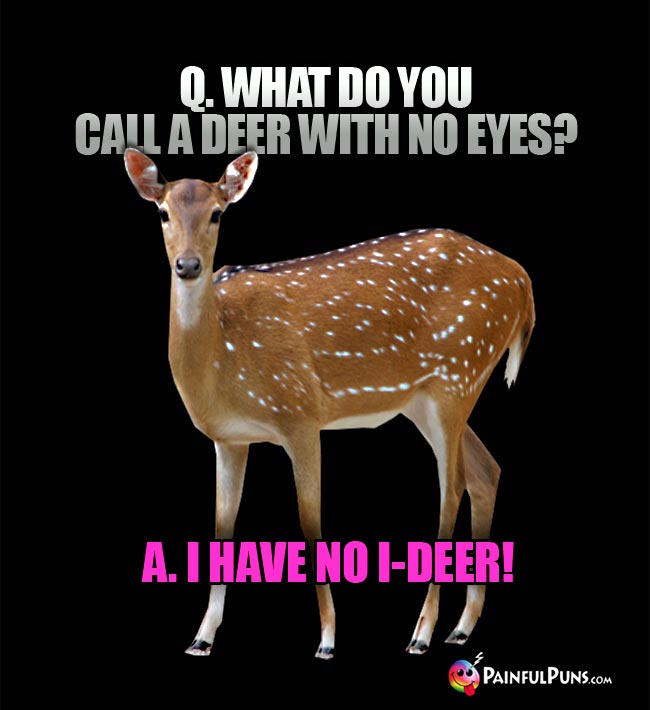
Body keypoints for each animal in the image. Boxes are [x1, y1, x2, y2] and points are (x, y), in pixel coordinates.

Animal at [125, 148, 535, 659]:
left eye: (218, 213)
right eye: (162, 212)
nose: (188, 265)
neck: (223, 360)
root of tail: (520, 279)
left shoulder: (300, 412)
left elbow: (309, 520)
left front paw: (327, 639)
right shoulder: (229, 438)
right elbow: (222, 525)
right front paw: (202, 636)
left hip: (458, 373)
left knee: (453, 485)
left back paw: (421, 633)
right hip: (428, 397)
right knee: (486, 471)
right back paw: (460, 627)